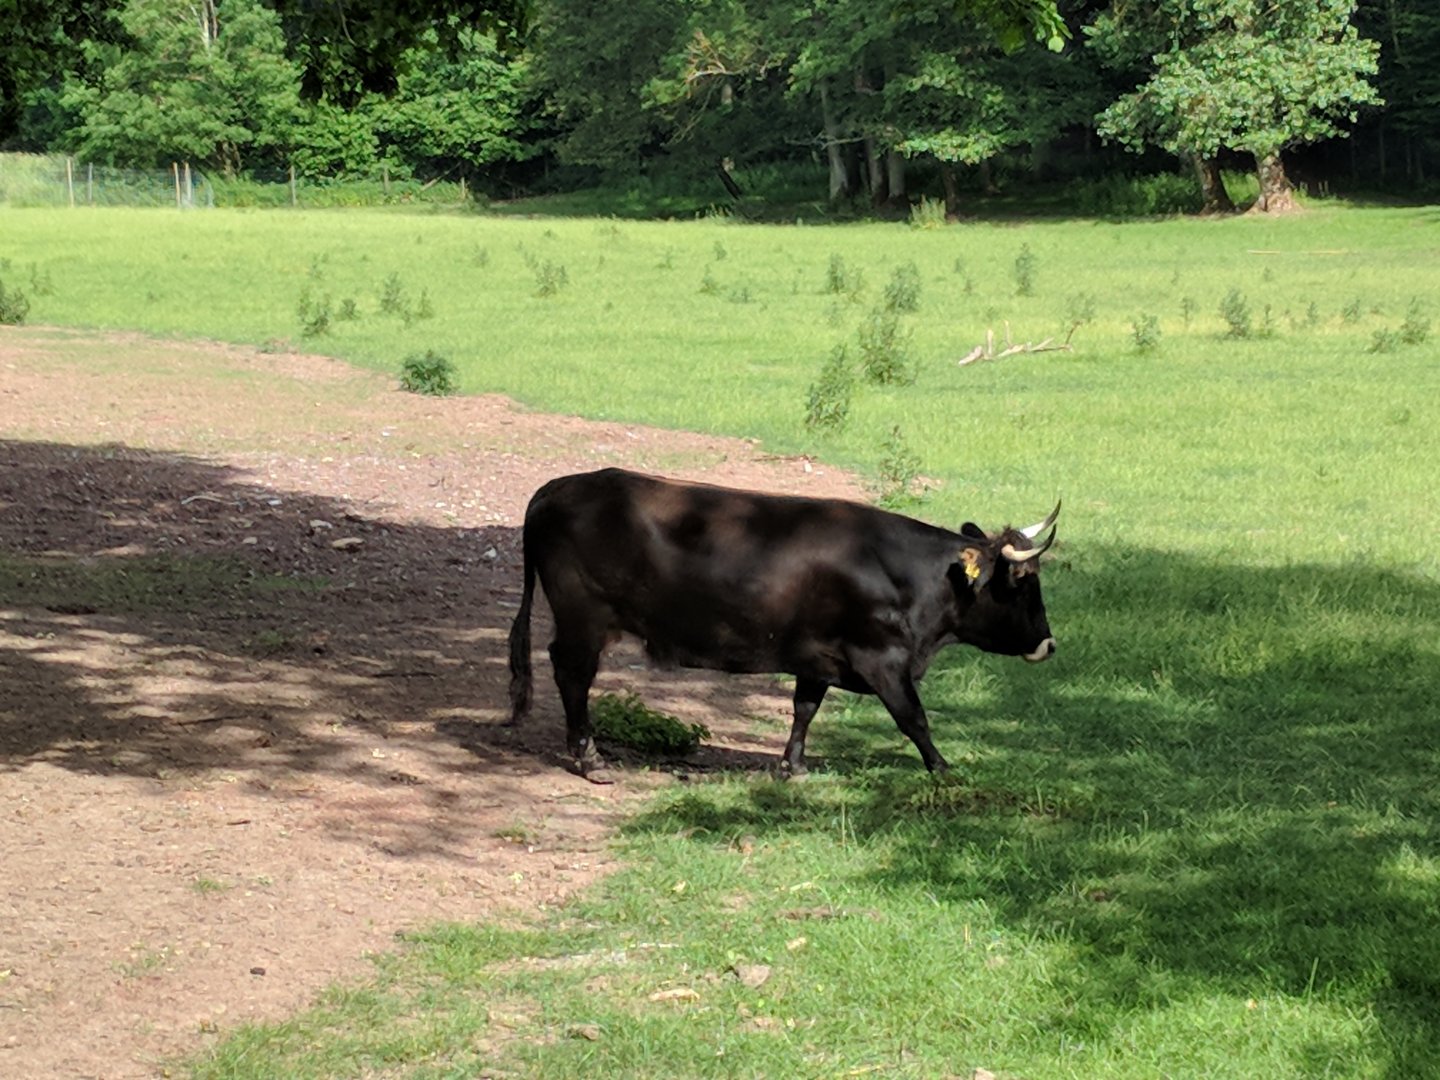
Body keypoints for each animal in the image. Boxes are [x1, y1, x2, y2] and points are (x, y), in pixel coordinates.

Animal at [507, 467, 1058, 781]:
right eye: (1023, 581)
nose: (1049, 644)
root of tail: (554, 489)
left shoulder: (817, 657)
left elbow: (804, 709)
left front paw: (792, 765)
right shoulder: (882, 658)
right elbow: (913, 718)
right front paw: (943, 768)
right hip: (583, 618)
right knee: (572, 674)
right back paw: (589, 759)